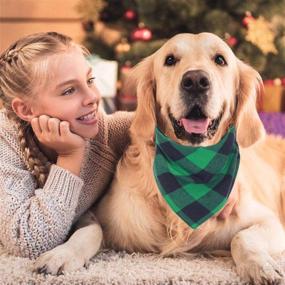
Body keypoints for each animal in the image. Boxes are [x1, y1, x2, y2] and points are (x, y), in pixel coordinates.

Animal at [34, 32, 284, 282]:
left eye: (220, 60)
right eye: (170, 60)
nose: (195, 81)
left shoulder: (270, 222)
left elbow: (241, 238)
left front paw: (262, 266)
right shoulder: (93, 213)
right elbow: (90, 230)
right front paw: (61, 254)